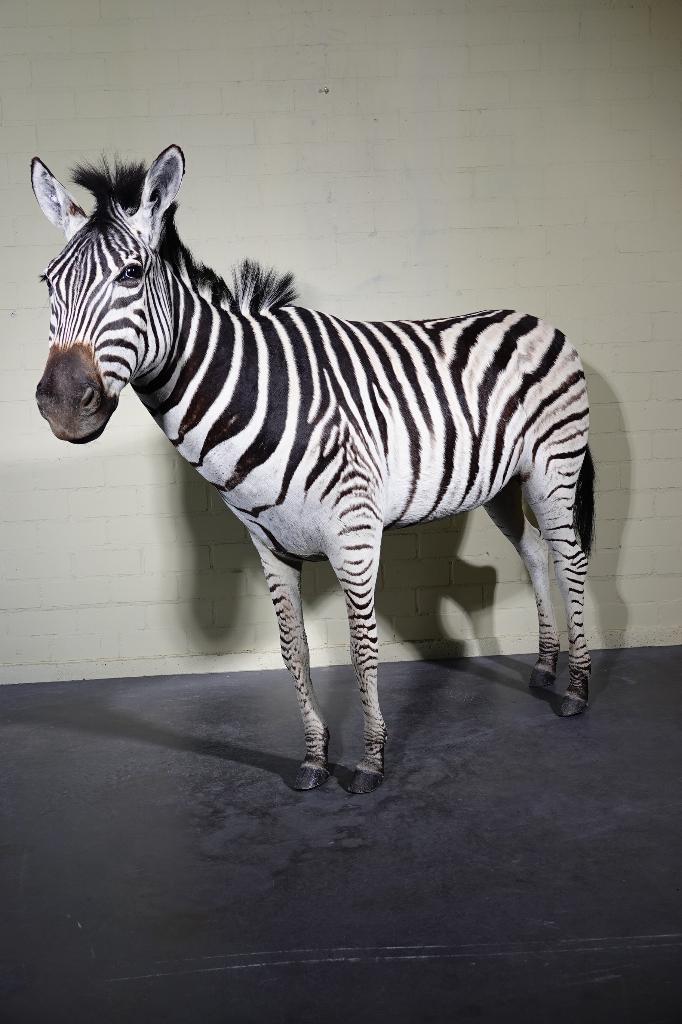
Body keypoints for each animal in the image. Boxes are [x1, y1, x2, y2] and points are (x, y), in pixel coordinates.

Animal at [31, 145, 595, 794]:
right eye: (48, 283)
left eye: (129, 274)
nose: (61, 403)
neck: (253, 397)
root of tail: (538, 320)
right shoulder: (269, 546)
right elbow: (293, 651)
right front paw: (314, 757)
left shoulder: (354, 534)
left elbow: (361, 648)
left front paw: (370, 761)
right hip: (502, 483)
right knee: (534, 552)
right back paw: (545, 667)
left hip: (555, 467)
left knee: (571, 559)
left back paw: (577, 689)